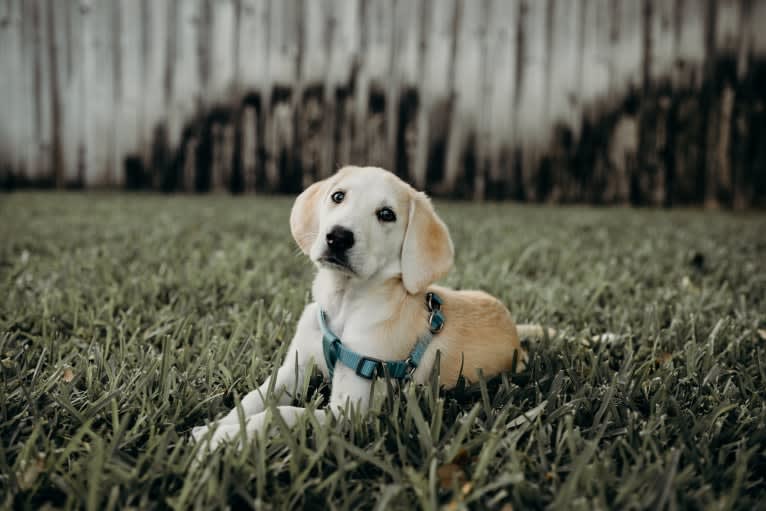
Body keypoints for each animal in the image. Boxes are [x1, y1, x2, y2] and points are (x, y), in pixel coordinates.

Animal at [190, 166, 532, 450]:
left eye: (386, 214)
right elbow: (255, 398)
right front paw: (218, 425)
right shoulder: (293, 369)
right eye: (337, 196)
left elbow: (285, 414)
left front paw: (221, 438)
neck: (344, 305)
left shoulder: (348, 409)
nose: (338, 237)